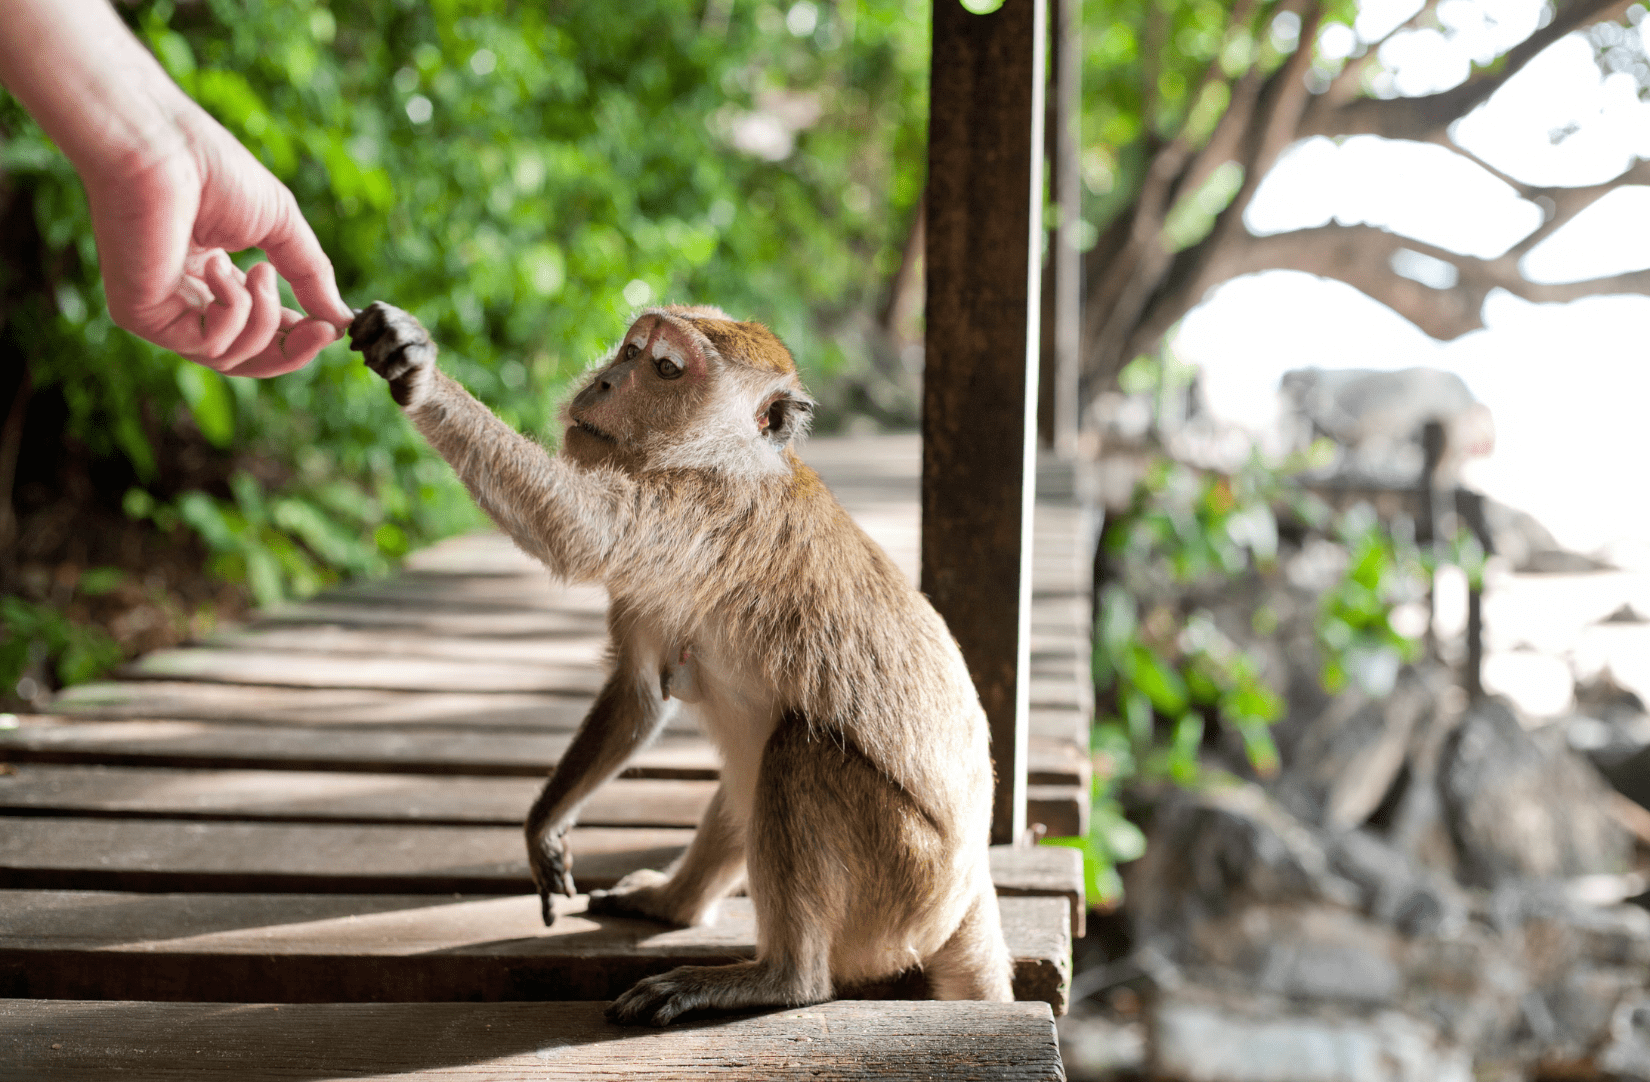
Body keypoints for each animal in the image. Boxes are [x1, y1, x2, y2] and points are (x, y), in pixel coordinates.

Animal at [349, 301, 1009, 1022]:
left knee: (796, 753)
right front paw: (547, 822)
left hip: (905, 880)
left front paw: (419, 375)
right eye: (630, 351)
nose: (605, 381)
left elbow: (580, 532)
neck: (723, 457)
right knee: (749, 770)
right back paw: (673, 904)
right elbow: (638, 693)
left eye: (666, 369)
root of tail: (971, 892)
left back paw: (779, 979)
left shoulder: (704, 513)